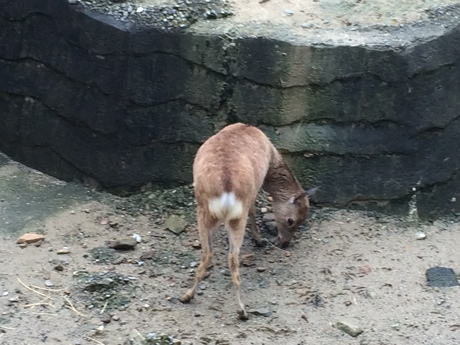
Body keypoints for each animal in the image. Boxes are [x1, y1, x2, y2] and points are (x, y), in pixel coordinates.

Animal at [180, 122, 316, 318]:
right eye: (292, 220)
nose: (285, 243)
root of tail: (226, 192)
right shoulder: (254, 191)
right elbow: (253, 209)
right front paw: (259, 240)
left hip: (205, 214)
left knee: (209, 253)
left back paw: (188, 296)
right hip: (236, 215)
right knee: (232, 258)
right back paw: (242, 311)